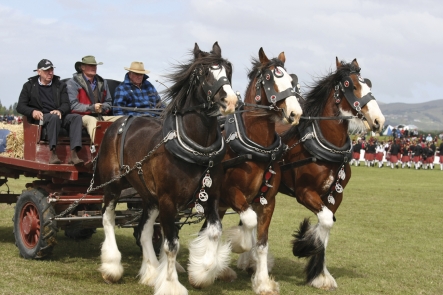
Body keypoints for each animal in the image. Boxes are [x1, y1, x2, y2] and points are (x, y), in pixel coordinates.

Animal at [97, 42, 239, 295]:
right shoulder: (168, 200)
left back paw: (151, 271)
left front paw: (202, 272)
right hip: (113, 185)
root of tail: (119, 122)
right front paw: (171, 285)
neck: (197, 148)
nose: (230, 101)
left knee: (143, 230)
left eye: (228, 70)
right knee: (108, 218)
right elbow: (171, 244)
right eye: (204, 73)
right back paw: (112, 266)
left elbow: (214, 231)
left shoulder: (211, 196)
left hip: (149, 195)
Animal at [212, 47, 304, 294]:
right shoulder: (231, 193)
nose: (295, 113)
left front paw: (262, 281)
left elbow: (262, 242)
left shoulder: (268, 201)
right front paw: (239, 244)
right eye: (271, 78)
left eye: (291, 79)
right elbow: (249, 224)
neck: (257, 146)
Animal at [280, 57, 386, 292]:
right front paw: (304, 247)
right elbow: (326, 221)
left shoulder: (335, 194)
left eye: (368, 83)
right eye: (349, 85)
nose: (378, 120)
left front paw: (318, 273)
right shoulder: (305, 192)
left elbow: (325, 227)